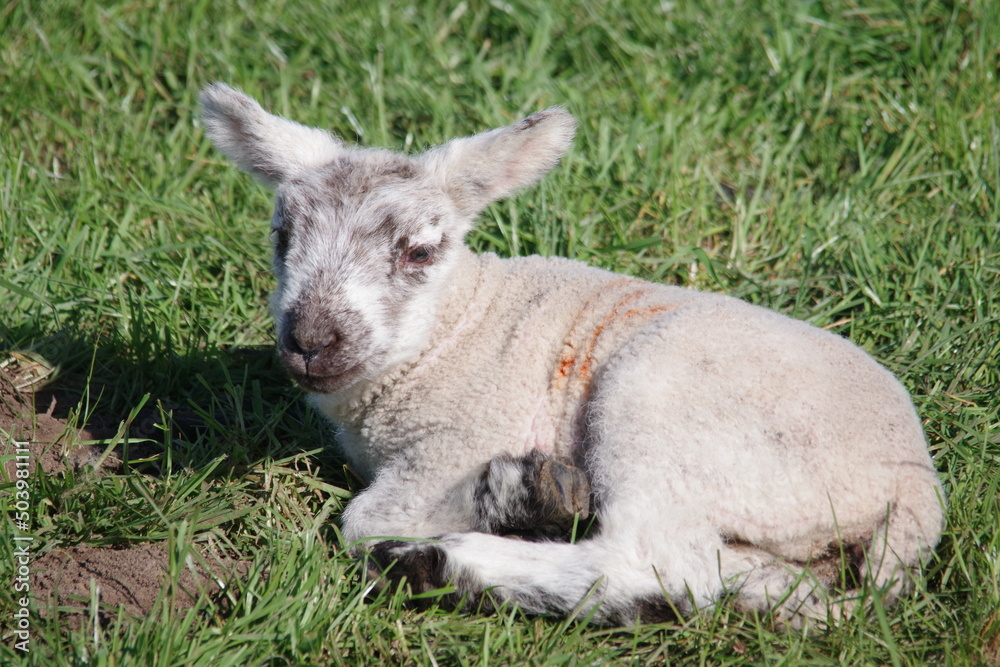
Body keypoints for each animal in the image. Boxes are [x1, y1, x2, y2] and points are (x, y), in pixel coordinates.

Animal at [199, 82, 945, 626]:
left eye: (420, 251)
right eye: (282, 235)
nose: (310, 341)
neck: (453, 333)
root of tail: (914, 489)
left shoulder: (458, 437)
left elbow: (361, 518)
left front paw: (507, 498)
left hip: (664, 406)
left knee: (652, 559)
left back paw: (447, 561)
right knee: (743, 581)